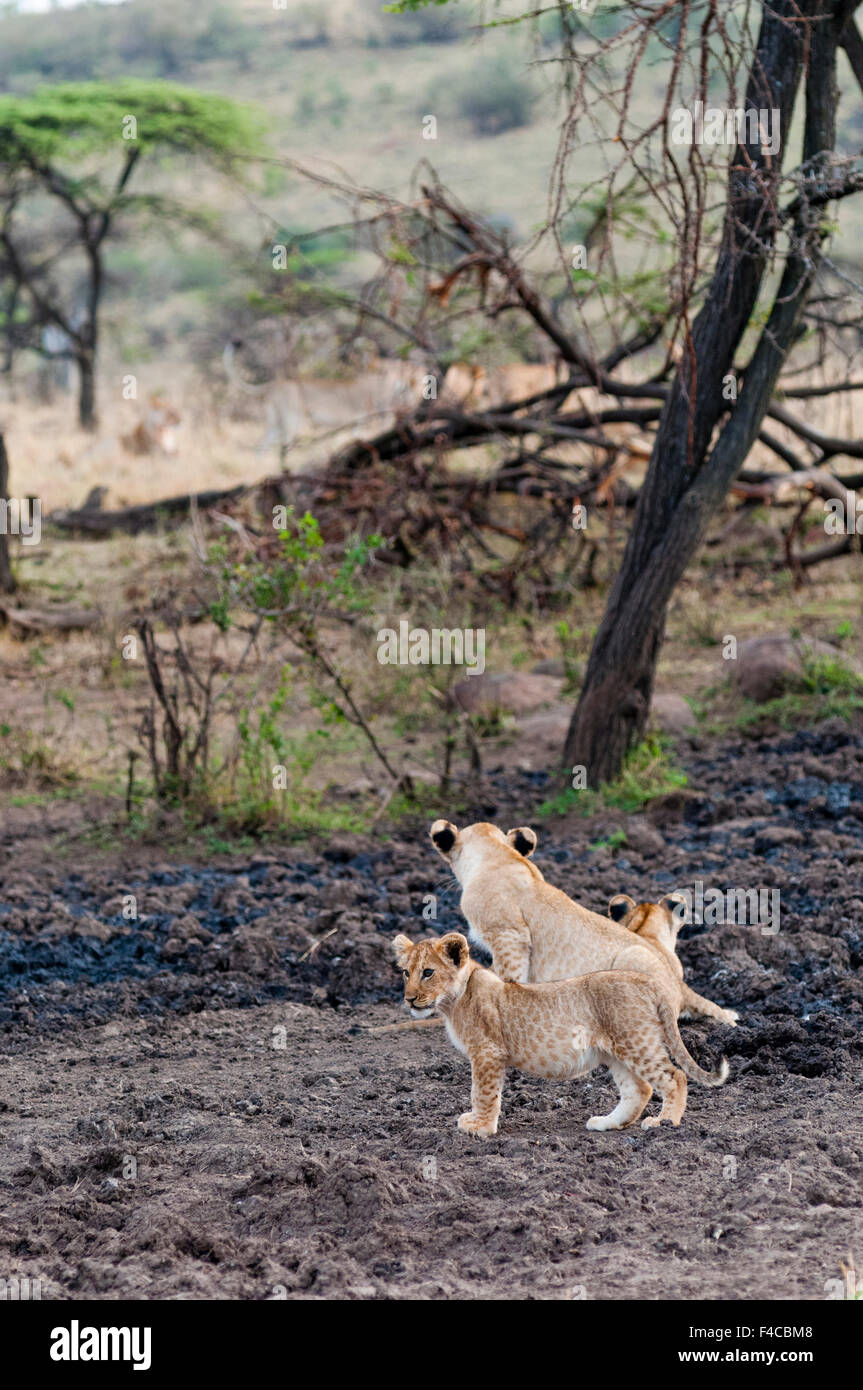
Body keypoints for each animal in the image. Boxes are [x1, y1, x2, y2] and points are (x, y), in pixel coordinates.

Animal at [393, 931, 728, 1135]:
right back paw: (607, 1122)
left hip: (636, 1042)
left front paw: (481, 1127)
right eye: (406, 973)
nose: (409, 999)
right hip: (616, 1051)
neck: (453, 1001)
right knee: (639, 1089)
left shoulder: (487, 1053)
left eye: (428, 972)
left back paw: (665, 1122)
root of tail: (649, 982)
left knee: (675, 1077)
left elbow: (483, 1092)